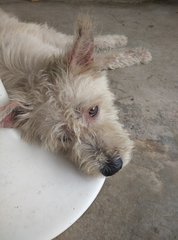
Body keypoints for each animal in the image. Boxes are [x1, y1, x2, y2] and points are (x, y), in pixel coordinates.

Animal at [0, 8, 152, 176]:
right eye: (65, 138)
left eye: (93, 110)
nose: (113, 167)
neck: (33, 73)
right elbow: (102, 58)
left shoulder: (46, 36)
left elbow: (103, 55)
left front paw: (134, 51)